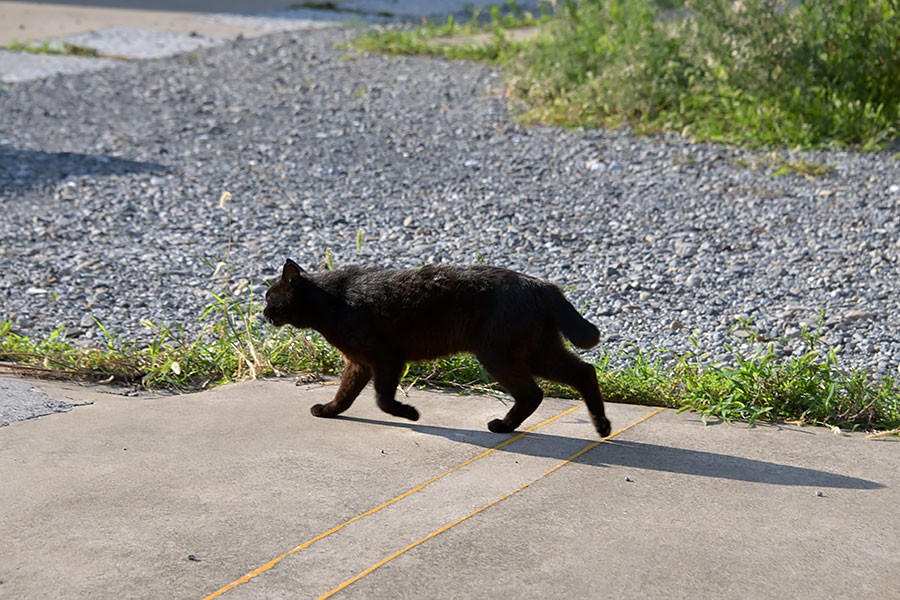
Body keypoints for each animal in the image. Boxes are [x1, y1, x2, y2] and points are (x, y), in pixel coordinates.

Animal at [262, 260, 612, 438]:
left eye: (269, 298)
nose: (263, 313)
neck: (330, 302)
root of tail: (542, 284)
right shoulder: (359, 363)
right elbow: (345, 394)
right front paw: (328, 411)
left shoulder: (387, 358)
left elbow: (382, 400)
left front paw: (410, 413)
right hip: (537, 351)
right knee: (583, 372)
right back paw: (602, 426)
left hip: (499, 354)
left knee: (533, 393)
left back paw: (502, 426)